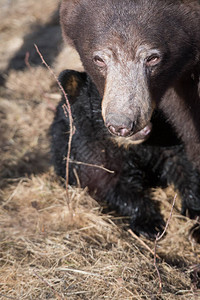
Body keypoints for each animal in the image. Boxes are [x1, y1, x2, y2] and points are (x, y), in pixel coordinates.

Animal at [50, 70, 200, 239]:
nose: (141, 128)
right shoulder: (91, 150)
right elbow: (116, 185)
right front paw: (150, 226)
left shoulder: (165, 131)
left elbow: (182, 164)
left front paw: (194, 215)